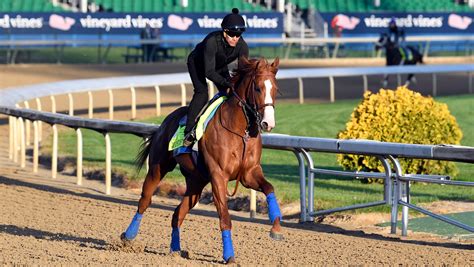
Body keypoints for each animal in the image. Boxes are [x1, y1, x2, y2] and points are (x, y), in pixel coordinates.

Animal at [122, 57, 284, 264]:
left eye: (275, 88)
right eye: (257, 88)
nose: (268, 123)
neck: (241, 132)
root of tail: (165, 121)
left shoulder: (249, 173)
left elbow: (269, 188)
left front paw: (276, 227)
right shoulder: (218, 176)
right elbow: (225, 218)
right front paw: (229, 255)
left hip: (196, 182)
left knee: (178, 213)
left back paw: (176, 250)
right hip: (159, 167)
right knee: (145, 200)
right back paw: (128, 236)